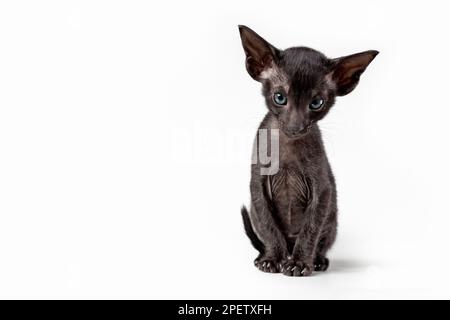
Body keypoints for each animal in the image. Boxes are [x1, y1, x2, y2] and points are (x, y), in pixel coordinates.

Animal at [239, 25, 376, 276]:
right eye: (280, 97)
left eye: (316, 103)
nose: (296, 127)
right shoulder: (257, 185)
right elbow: (269, 227)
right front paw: (272, 259)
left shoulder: (322, 189)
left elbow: (311, 230)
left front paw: (300, 263)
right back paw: (266, 256)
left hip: (332, 221)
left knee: (320, 241)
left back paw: (317, 261)